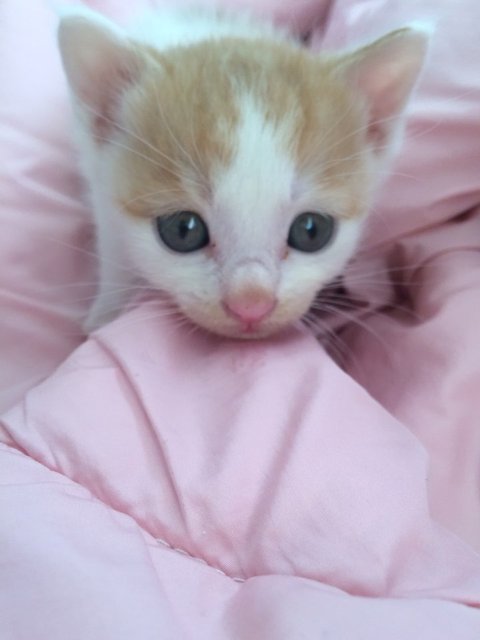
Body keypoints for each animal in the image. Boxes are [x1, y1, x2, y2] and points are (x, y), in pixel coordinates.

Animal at [57, 6, 429, 339]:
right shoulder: (99, 186)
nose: (251, 305)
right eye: (182, 230)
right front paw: (109, 310)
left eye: (312, 231)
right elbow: (113, 245)